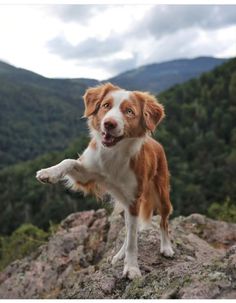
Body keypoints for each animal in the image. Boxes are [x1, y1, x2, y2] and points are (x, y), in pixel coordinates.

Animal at [36, 82, 173, 280]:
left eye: (129, 111)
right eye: (106, 106)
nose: (109, 124)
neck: (113, 153)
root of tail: (157, 143)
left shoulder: (134, 200)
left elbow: (133, 241)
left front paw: (132, 268)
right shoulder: (87, 176)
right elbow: (69, 161)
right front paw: (49, 172)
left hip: (161, 194)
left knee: (163, 221)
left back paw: (166, 247)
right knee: (129, 229)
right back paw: (120, 254)